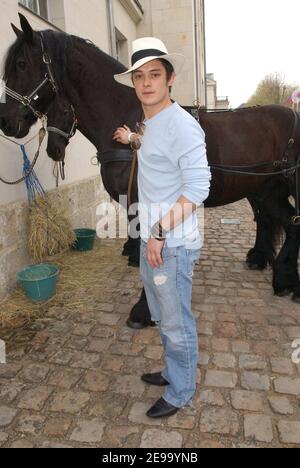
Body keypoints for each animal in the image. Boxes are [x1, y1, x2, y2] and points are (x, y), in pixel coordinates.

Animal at [0, 15, 300, 330]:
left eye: (21, 63)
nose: (5, 121)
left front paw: (144, 310)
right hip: (265, 190)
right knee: (286, 223)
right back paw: (279, 275)